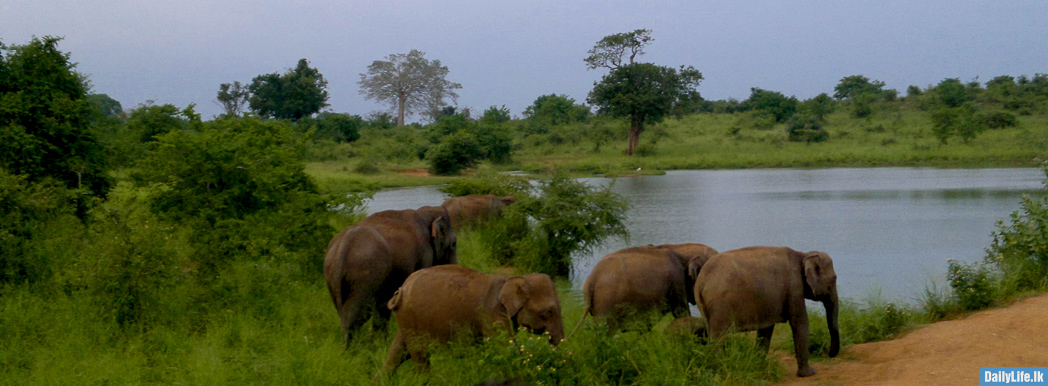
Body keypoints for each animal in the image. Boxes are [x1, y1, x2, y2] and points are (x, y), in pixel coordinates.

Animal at [320, 205, 456, 346]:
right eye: (454, 243)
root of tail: (342, 247)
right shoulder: (425, 253)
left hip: (332, 277)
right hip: (365, 276)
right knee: (358, 314)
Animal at [381, 265, 565, 373]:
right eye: (548, 311)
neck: (516, 278)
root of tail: (401, 289)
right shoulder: (492, 314)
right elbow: (504, 349)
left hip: (406, 320)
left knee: (398, 352)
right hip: (410, 319)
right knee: (420, 357)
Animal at [695, 247, 842, 377]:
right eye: (834, 279)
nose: (829, 354)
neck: (803, 254)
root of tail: (700, 281)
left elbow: (766, 329)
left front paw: (759, 366)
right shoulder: (794, 287)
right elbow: (800, 322)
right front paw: (809, 373)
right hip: (720, 305)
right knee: (718, 337)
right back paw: (720, 368)